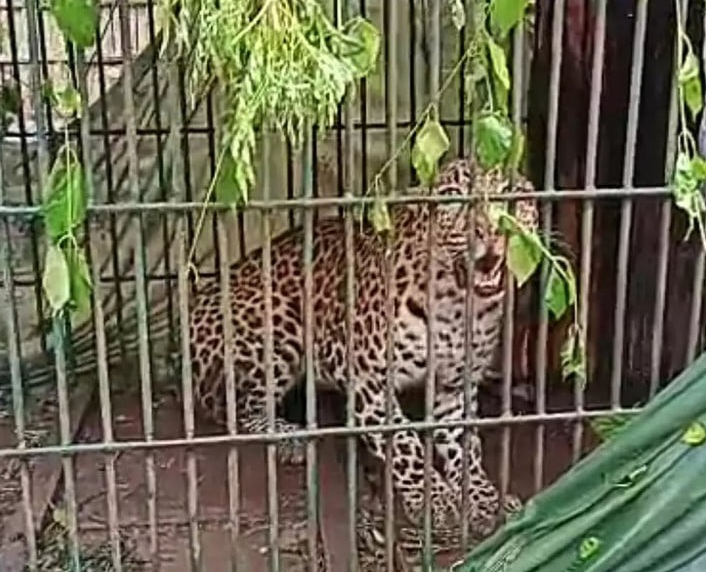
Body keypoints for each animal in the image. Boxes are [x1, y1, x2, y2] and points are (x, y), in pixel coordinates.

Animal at [187, 155, 539, 538]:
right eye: (451, 196)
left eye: (512, 193)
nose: (491, 231)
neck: (459, 306)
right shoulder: (367, 380)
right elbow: (405, 442)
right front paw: (434, 499)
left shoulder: (455, 385)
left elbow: (464, 443)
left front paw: (483, 497)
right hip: (278, 325)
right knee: (235, 408)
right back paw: (289, 436)